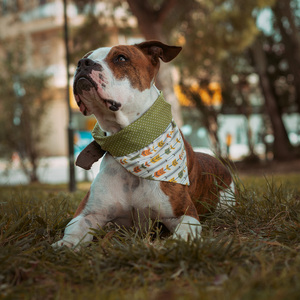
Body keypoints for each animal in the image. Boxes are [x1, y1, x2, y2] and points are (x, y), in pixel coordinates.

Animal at [52, 41, 234, 250]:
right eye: (85, 57)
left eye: (121, 58)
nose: (82, 63)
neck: (130, 145)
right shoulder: (89, 213)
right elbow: (73, 230)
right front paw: (64, 245)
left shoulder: (185, 214)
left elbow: (184, 234)